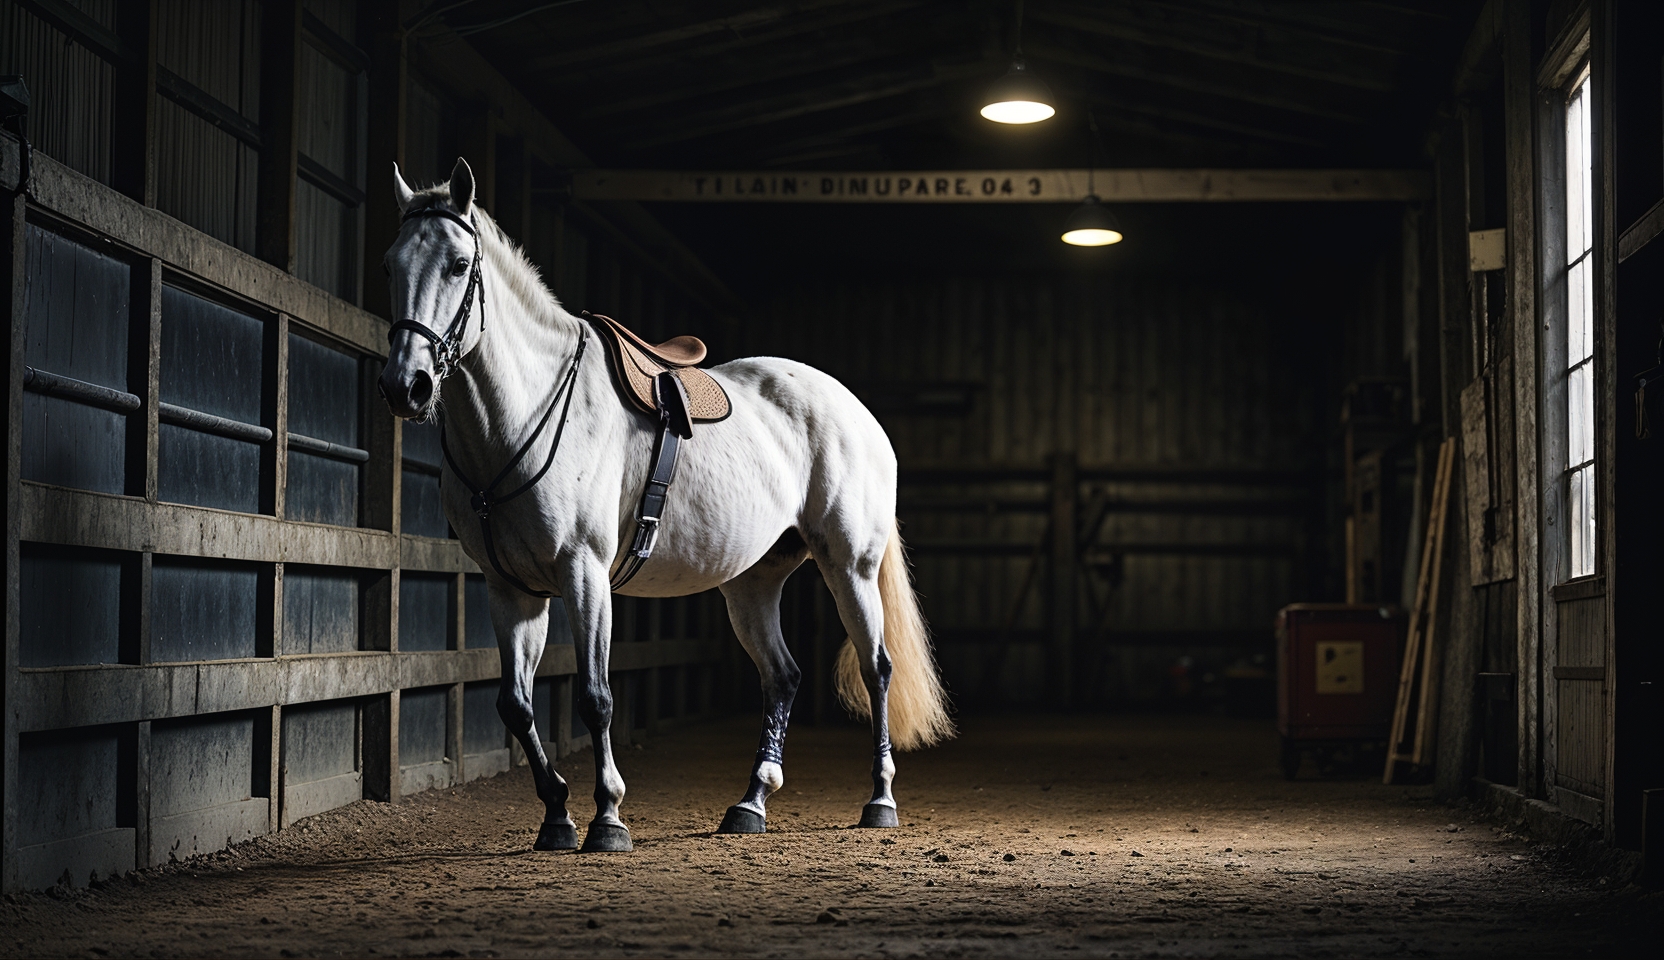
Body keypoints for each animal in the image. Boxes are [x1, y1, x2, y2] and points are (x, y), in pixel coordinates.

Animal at [376, 158, 953, 852]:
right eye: (391, 264)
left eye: (460, 264)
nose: (406, 386)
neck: (522, 413)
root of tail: (857, 410)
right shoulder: (510, 589)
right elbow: (515, 705)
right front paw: (557, 815)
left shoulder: (584, 572)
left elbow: (595, 697)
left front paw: (608, 817)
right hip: (753, 582)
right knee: (782, 675)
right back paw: (751, 803)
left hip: (850, 566)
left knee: (876, 669)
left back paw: (879, 800)